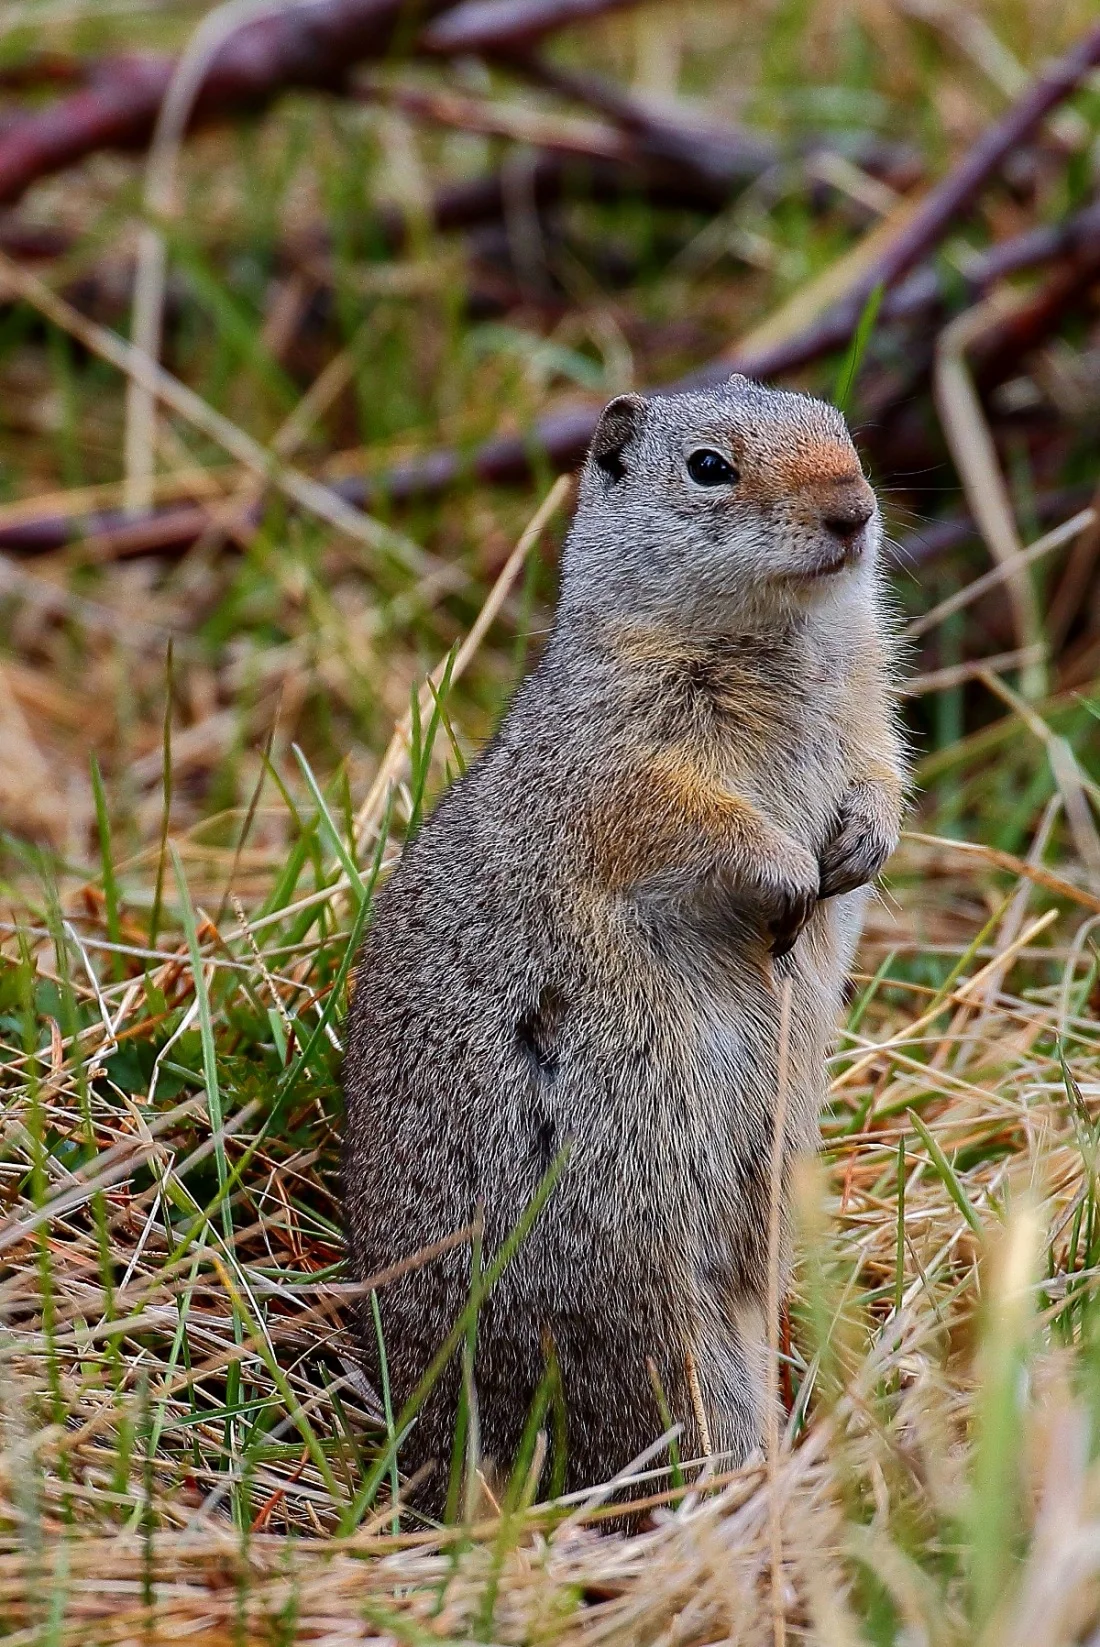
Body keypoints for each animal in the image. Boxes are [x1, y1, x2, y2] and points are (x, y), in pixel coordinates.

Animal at [342, 374, 906, 1514]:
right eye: (707, 467)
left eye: (842, 432)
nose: (853, 510)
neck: (782, 642)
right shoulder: (622, 757)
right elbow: (692, 819)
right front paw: (789, 878)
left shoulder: (867, 712)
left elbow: (882, 774)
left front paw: (858, 847)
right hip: (641, 1283)